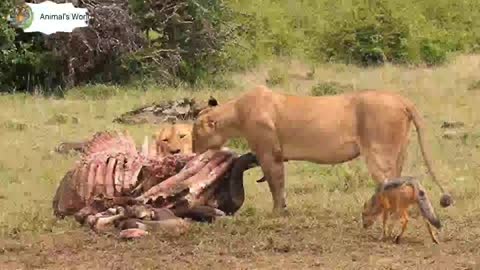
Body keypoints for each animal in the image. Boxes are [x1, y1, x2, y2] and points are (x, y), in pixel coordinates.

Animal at [190, 85, 450, 214]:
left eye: (195, 132)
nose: (192, 150)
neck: (236, 112)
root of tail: (402, 100)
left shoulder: (269, 153)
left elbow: (276, 184)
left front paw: (277, 212)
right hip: (398, 151)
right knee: (398, 181)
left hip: (378, 153)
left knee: (391, 183)